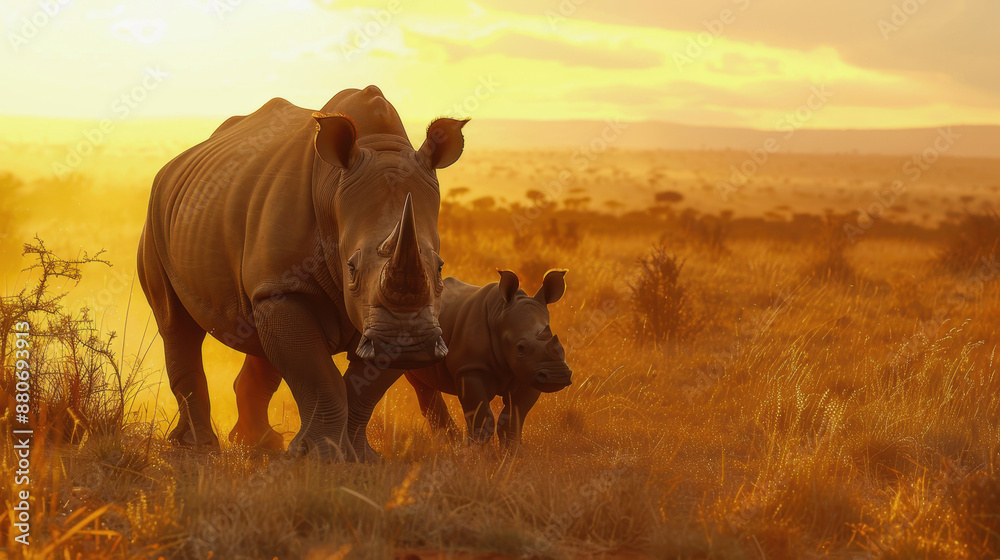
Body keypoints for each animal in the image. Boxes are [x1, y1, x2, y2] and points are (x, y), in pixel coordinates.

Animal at [137, 85, 469, 460]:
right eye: (351, 268)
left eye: (439, 267)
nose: (410, 345)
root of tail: (172, 166)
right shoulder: (285, 288)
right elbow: (318, 376)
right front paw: (317, 458)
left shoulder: (387, 319)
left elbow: (361, 390)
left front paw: (360, 458)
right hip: (155, 217)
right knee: (175, 324)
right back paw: (196, 448)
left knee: (258, 334)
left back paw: (259, 444)